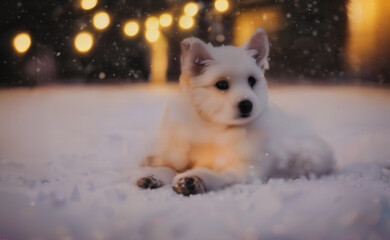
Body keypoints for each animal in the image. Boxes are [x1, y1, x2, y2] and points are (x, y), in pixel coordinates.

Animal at [136, 28, 334, 196]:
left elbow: (220, 175)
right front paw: (152, 175)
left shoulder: (244, 170)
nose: (247, 105)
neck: (215, 128)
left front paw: (194, 178)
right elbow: (169, 166)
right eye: (221, 84)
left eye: (252, 80)